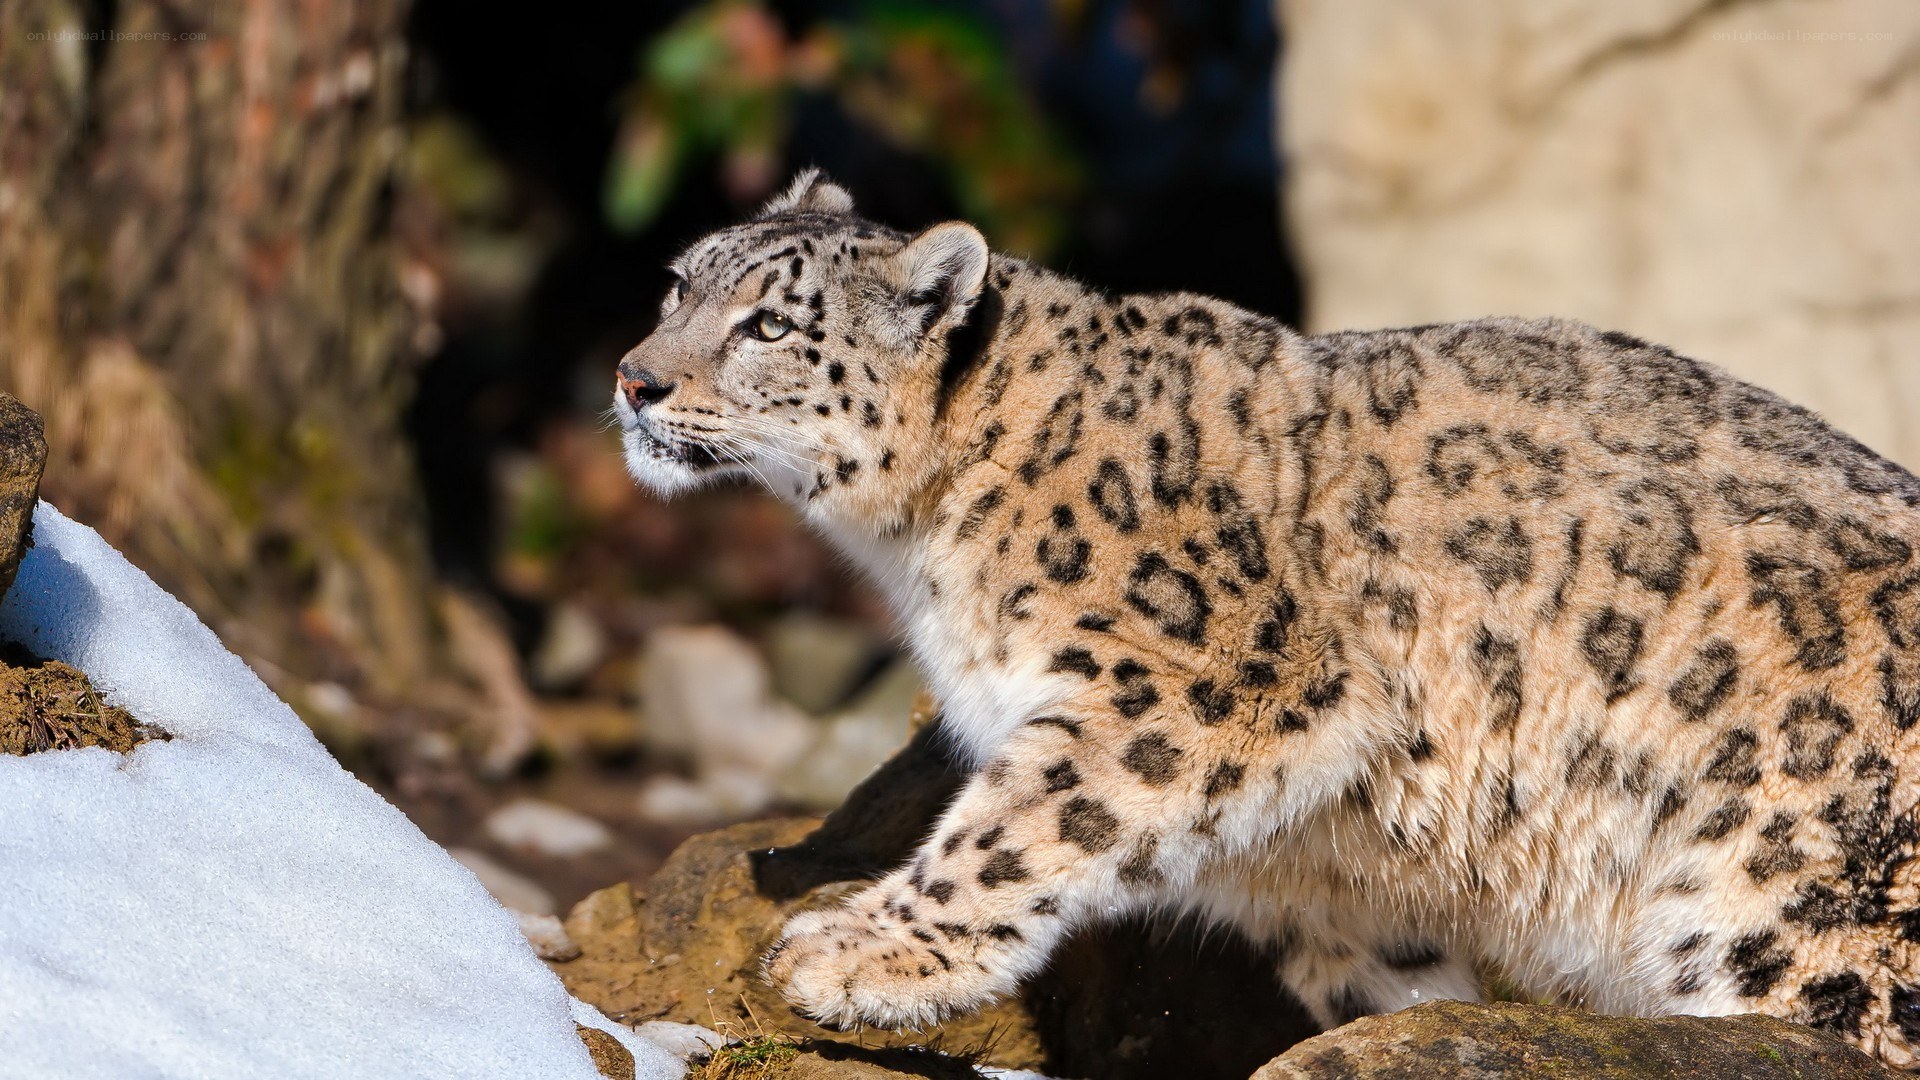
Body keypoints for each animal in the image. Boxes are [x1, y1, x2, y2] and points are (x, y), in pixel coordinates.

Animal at [612, 169, 1920, 1068]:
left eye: (771, 325)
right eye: (678, 283)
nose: (633, 379)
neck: (919, 549)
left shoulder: (1203, 687)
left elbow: (1015, 832)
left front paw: (854, 955)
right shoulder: (1317, 876)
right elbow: (1391, 981)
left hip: (1810, 910)